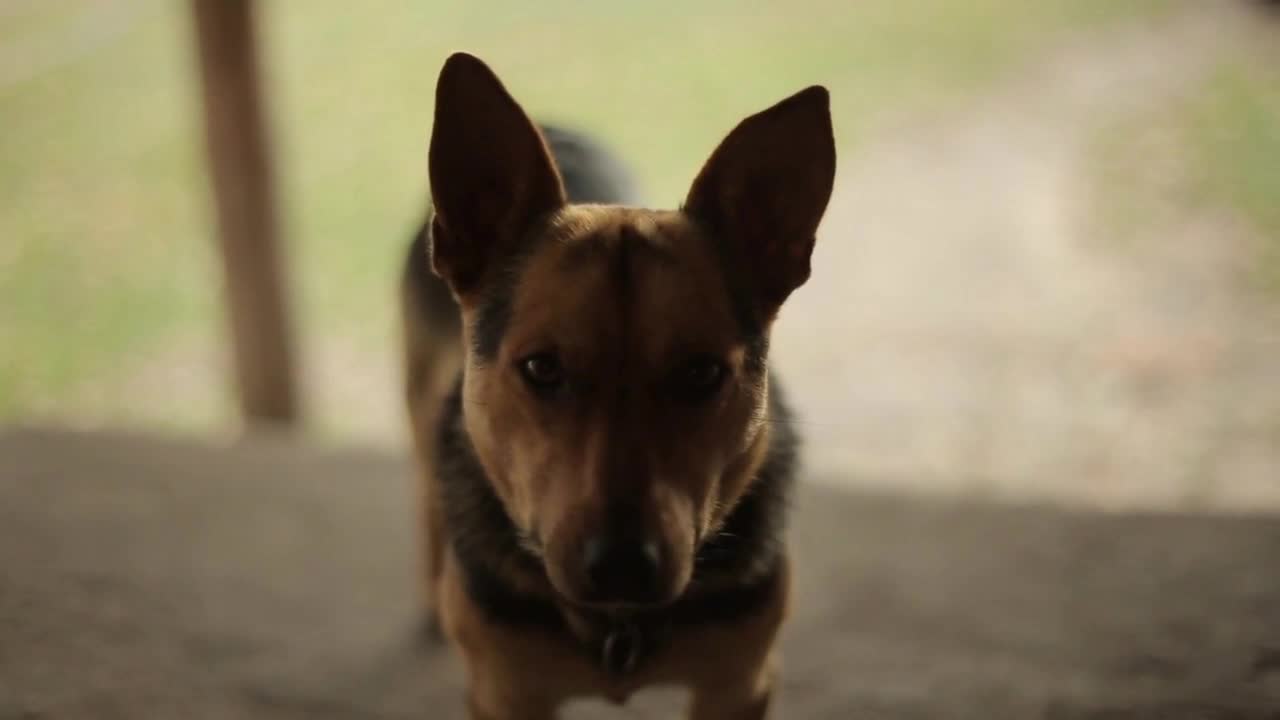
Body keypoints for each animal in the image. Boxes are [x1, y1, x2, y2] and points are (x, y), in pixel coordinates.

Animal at [401, 51, 839, 717]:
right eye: (542, 368)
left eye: (702, 372)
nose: (622, 567)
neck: (618, 625)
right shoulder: (506, 692)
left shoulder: (740, 684)